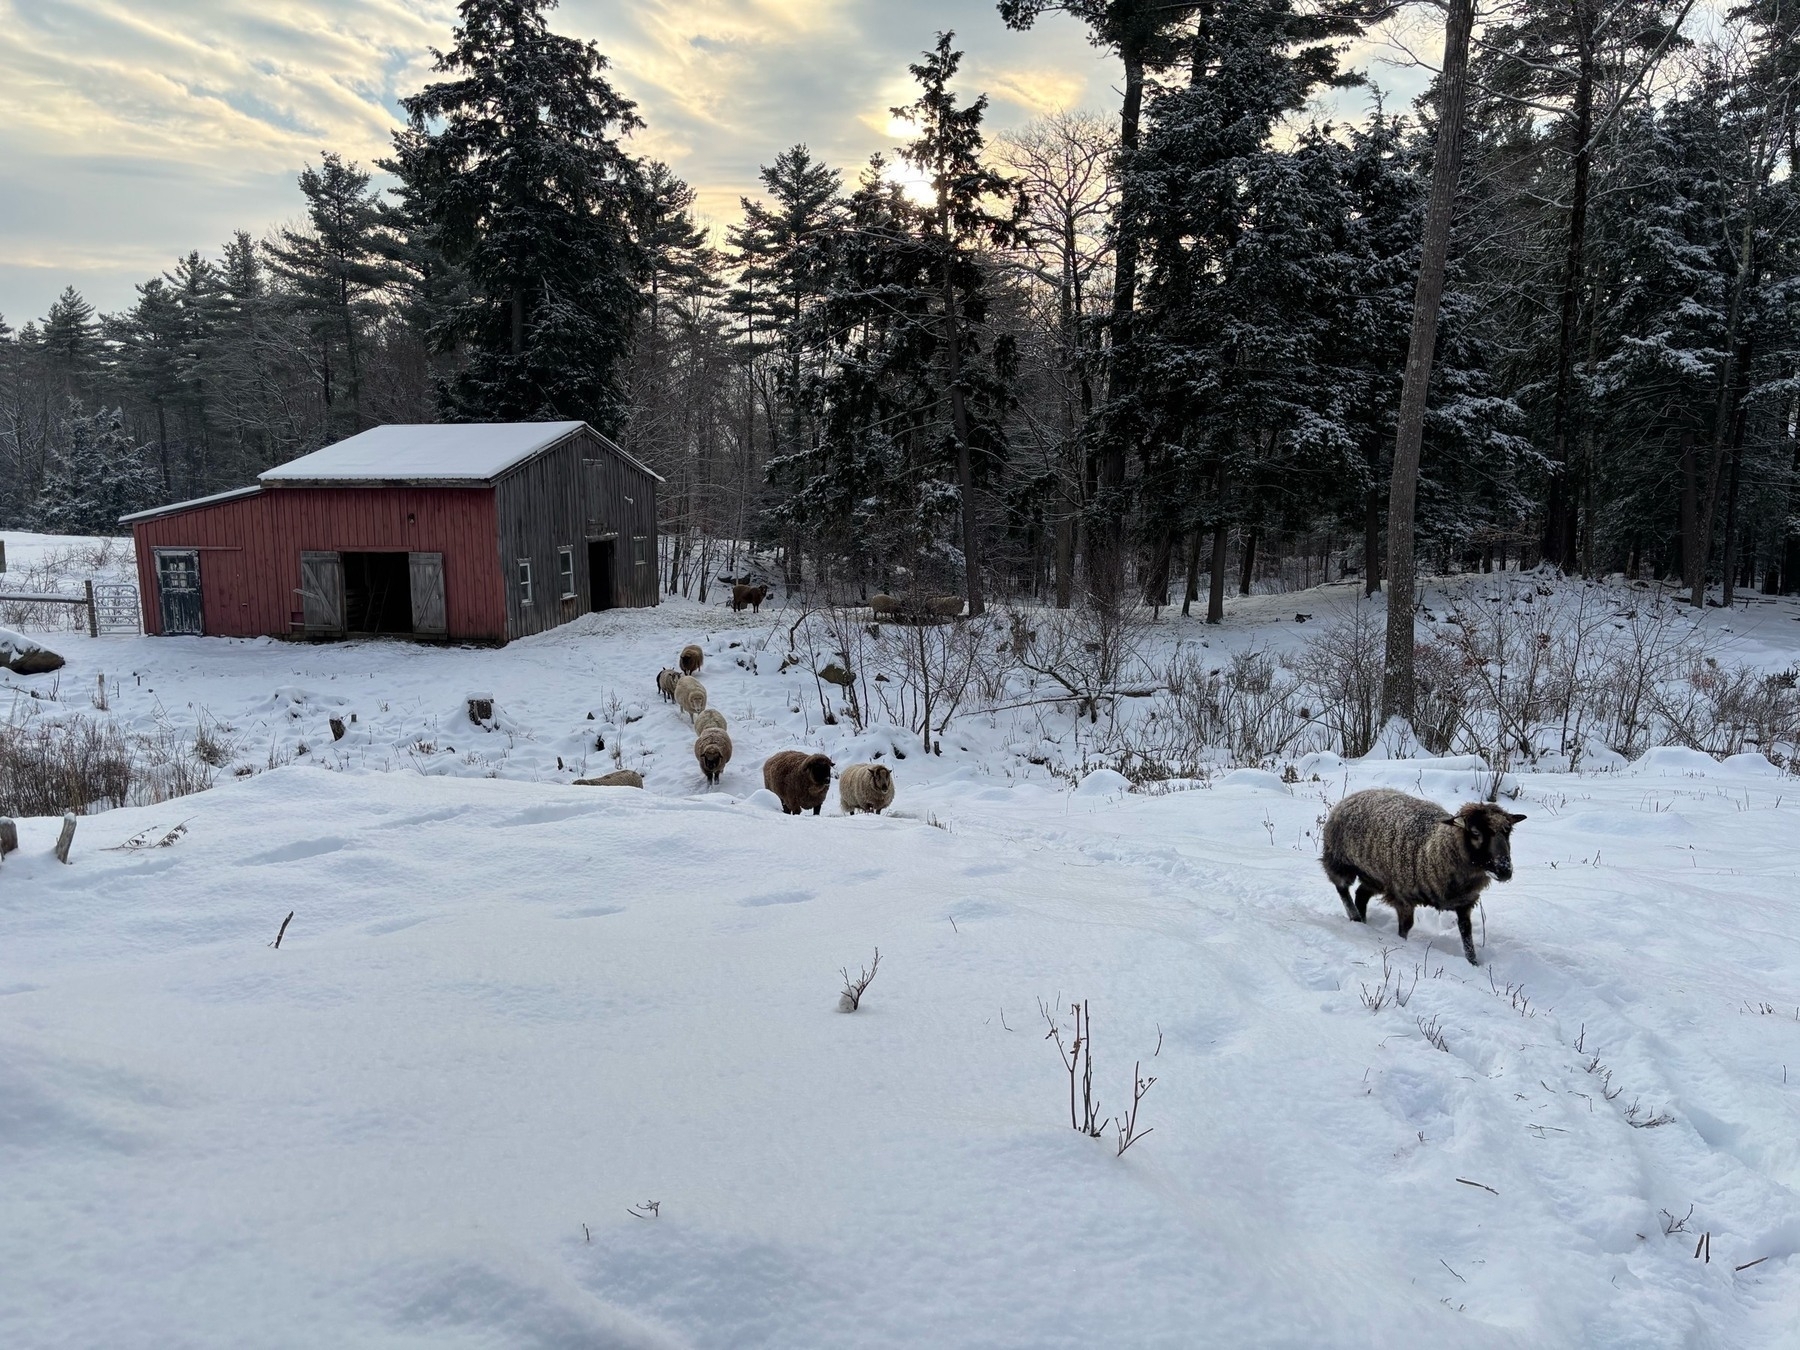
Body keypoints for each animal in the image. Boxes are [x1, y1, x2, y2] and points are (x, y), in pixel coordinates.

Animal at [1317, 788, 1526, 964]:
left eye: (1507, 831)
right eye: (1475, 832)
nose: (1504, 870)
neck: (1435, 848)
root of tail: (1355, 794)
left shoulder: (1464, 902)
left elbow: (1467, 935)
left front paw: (1473, 963)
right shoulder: (1402, 896)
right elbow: (1405, 927)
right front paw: (1401, 945)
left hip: (1375, 875)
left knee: (1361, 894)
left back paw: (1363, 921)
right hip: (1339, 860)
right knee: (1342, 888)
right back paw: (1355, 917)